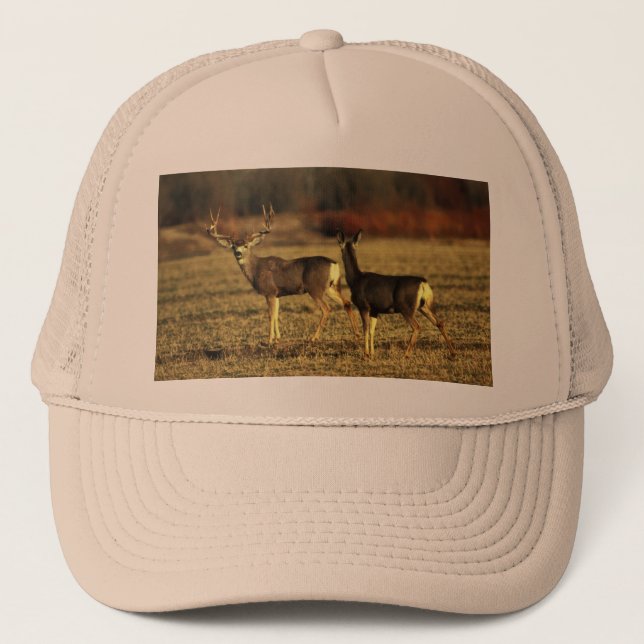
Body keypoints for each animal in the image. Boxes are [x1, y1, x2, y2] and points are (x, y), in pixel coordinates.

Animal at [206, 205, 360, 345]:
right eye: (233, 246)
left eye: (246, 246)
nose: (238, 253)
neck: (256, 270)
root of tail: (334, 264)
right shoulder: (277, 294)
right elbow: (276, 314)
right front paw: (278, 338)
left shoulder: (269, 291)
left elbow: (270, 315)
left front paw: (269, 340)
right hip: (330, 287)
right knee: (346, 302)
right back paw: (356, 334)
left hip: (315, 288)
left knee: (327, 309)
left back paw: (314, 337)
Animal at [337, 230, 456, 359]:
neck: (355, 280)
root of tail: (423, 283)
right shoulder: (375, 309)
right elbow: (372, 330)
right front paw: (372, 353)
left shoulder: (363, 305)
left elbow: (366, 329)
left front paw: (366, 354)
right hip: (424, 305)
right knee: (439, 322)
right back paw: (453, 352)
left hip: (406, 307)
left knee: (417, 326)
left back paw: (406, 354)